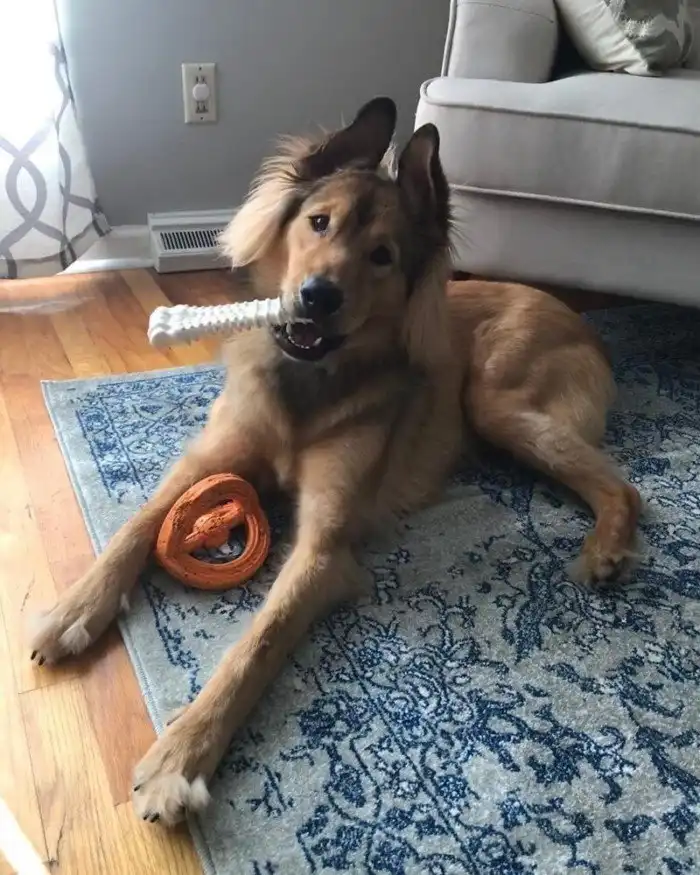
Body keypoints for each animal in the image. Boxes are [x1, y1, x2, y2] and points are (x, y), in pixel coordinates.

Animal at [29, 97, 641, 825]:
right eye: (319, 222)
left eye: (382, 256)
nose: (319, 295)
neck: (310, 381)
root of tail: (581, 321)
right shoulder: (207, 458)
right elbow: (136, 526)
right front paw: (74, 609)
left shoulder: (324, 546)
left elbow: (258, 640)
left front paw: (181, 754)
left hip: (495, 400)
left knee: (626, 486)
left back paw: (606, 549)